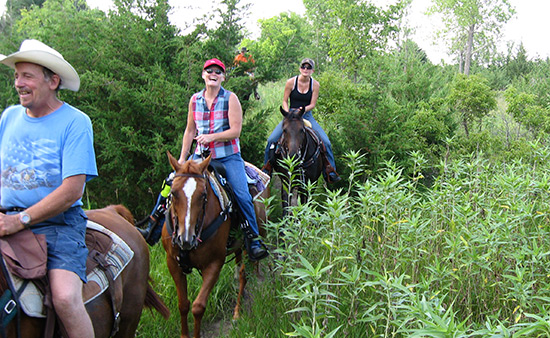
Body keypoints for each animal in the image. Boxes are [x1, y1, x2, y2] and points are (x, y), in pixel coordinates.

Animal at [162, 152, 270, 338]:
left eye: (203, 195)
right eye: (174, 193)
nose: (185, 238)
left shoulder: (214, 263)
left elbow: (198, 307)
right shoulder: (173, 263)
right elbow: (183, 304)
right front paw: (184, 334)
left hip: (251, 243)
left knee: (244, 275)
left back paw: (237, 313)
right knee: (239, 268)